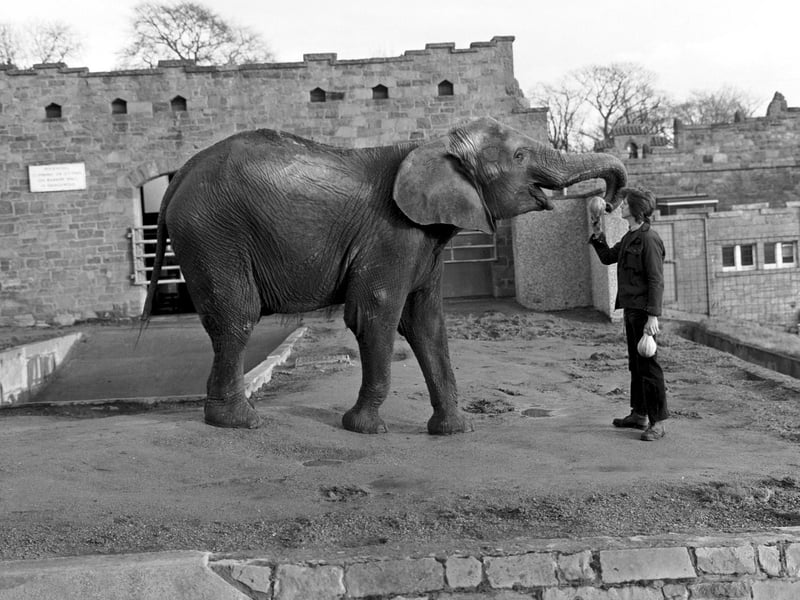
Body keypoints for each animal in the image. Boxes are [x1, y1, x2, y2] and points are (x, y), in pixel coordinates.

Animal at [141, 117, 627, 434]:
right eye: (521, 156)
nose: (608, 203)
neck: (435, 145)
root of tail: (180, 175)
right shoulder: (393, 233)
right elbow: (376, 313)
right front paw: (365, 429)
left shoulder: (425, 239)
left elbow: (427, 323)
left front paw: (454, 430)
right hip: (214, 233)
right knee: (237, 319)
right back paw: (241, 422)